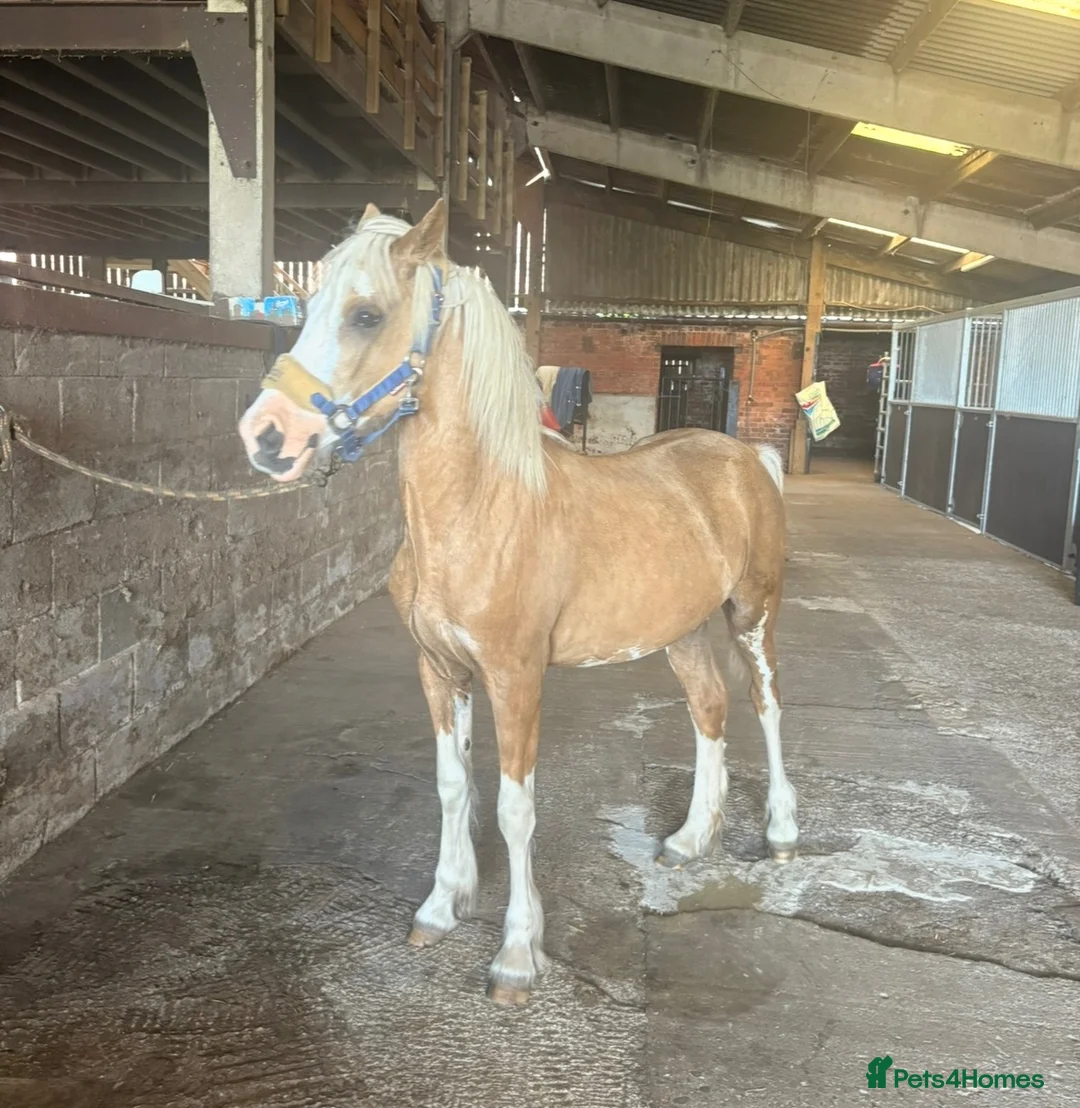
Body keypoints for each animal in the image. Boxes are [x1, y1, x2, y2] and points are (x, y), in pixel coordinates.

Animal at [238, 200, 797, 1005]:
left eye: (366, 314)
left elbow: (513, 807)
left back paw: (780, 835)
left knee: (766, 706)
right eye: (306, 306)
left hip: (754, 616)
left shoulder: (516, 676)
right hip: (684, 631)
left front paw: (515, 955)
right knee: (709, 711)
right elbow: (452, 787)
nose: (266, 435)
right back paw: (692, 840)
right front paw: (441, 907)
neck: (482, 508)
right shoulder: (440, 670)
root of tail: (748, 457)